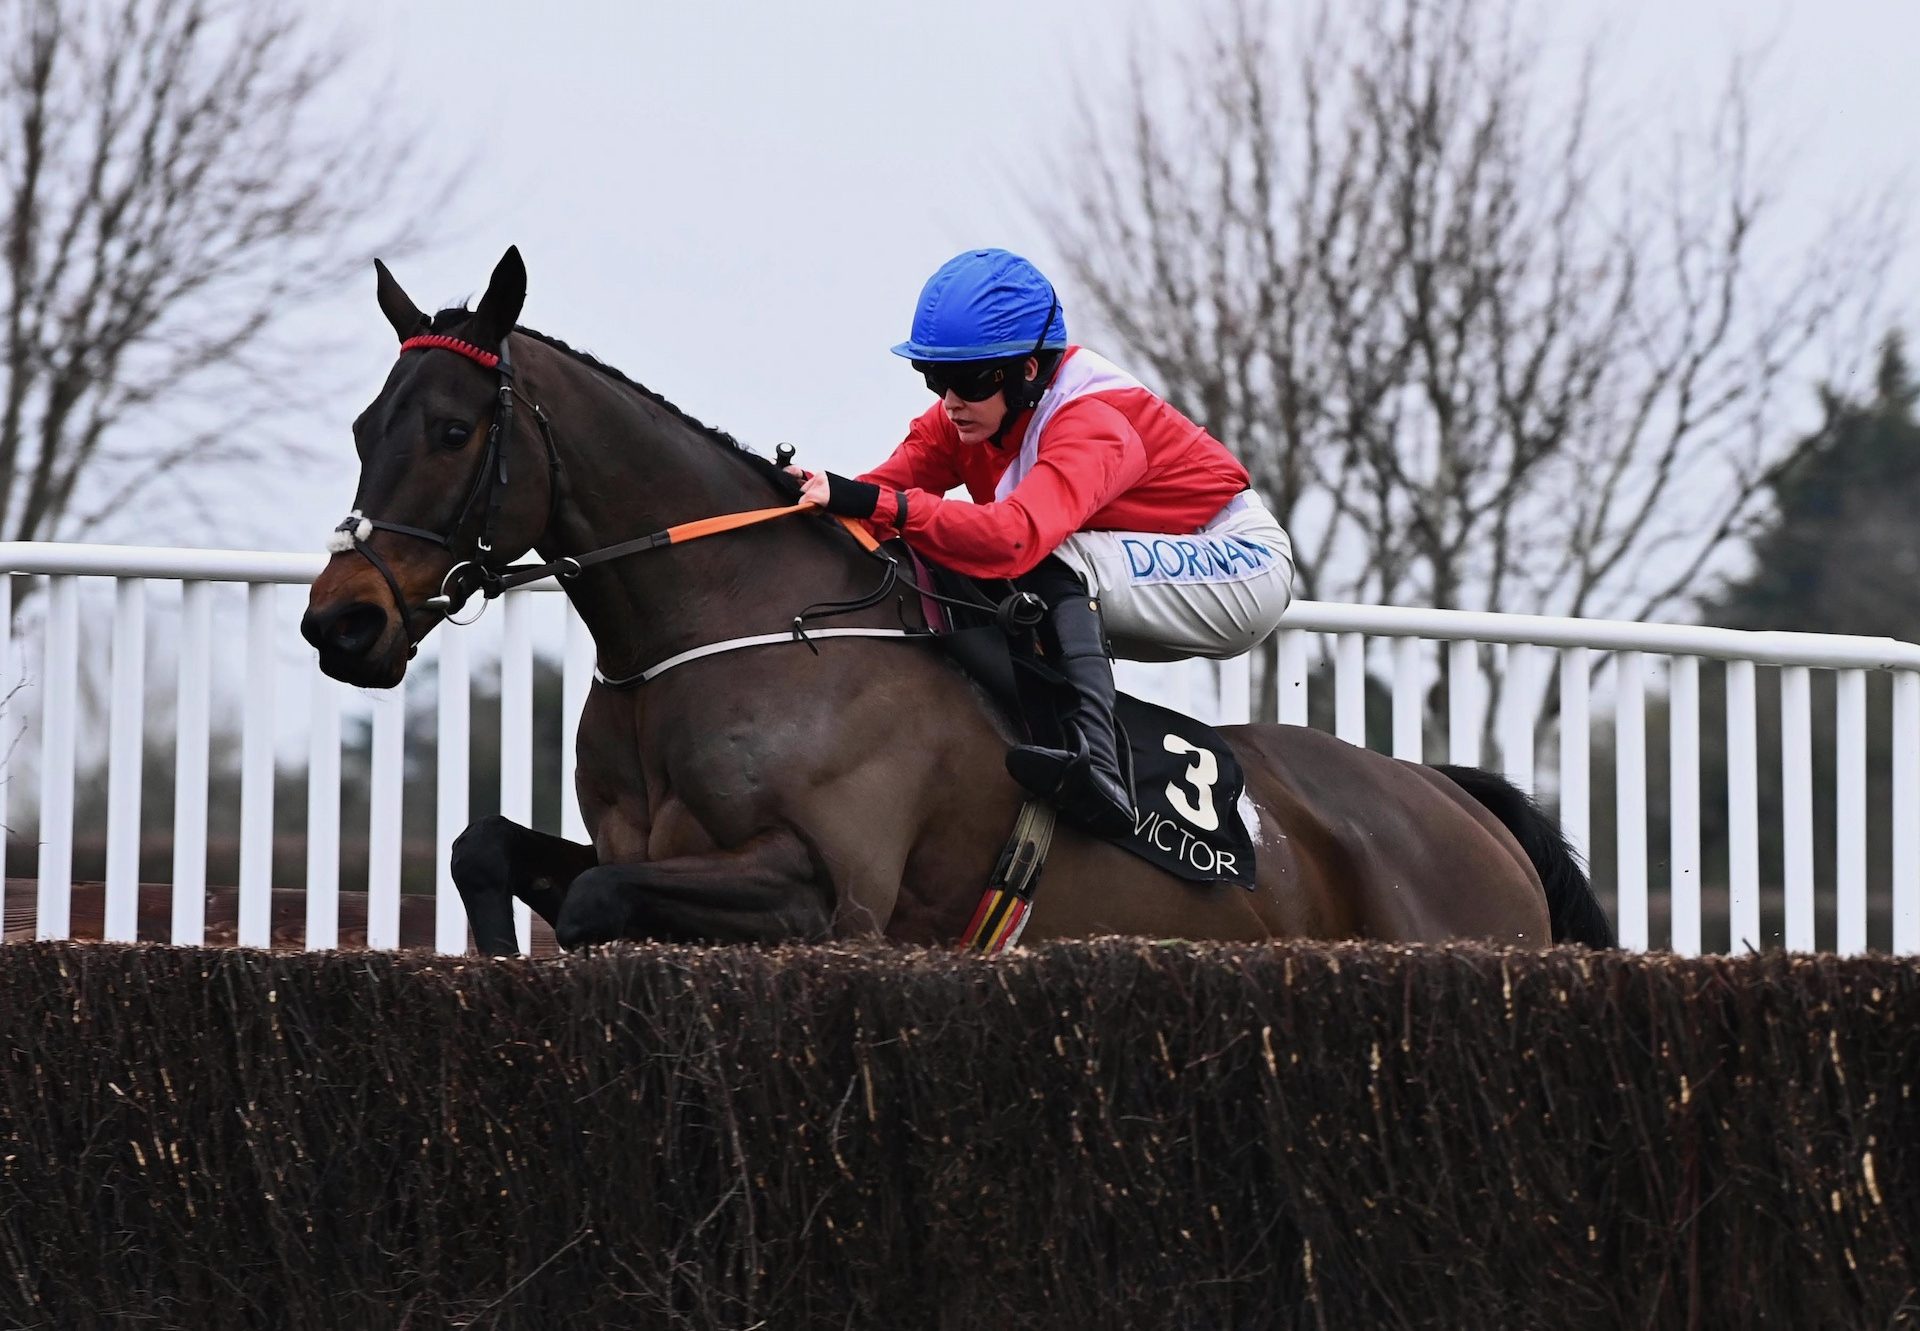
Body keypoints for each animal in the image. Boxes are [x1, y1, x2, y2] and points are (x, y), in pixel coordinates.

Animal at [303, 249, 1620, 956]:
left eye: (452, 431)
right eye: (364, 426)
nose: (341, 620)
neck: (724, 630)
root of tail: (1454, 800)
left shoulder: (829, 891)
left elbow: (591, 898)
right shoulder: (648, 842)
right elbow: (489, 847)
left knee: (1067, 570)